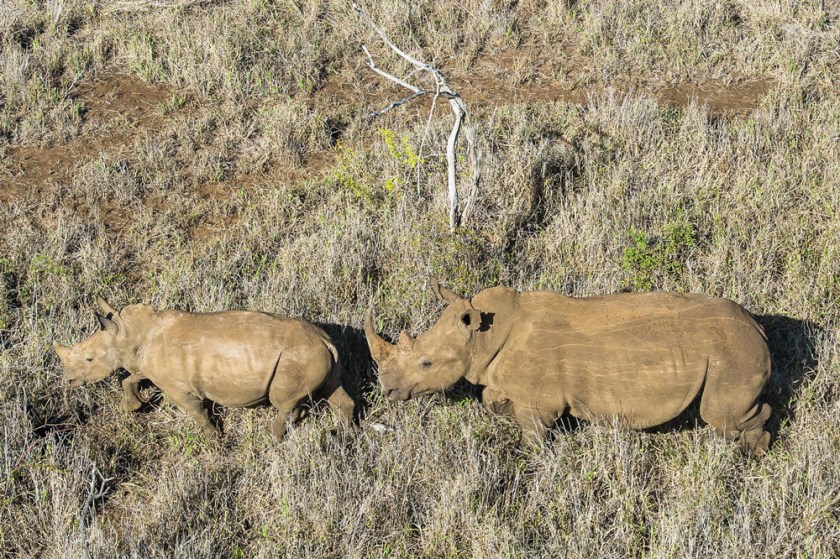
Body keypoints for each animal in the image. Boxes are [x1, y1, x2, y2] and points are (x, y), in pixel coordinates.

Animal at [54, 297, 355, 438]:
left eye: (89, 359)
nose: (68, 381)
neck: (130, 333)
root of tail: (325, 340)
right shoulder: (146, 366)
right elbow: (131, 378)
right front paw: (134, 407)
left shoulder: (180, 389)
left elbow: (197, 412)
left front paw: (214, 439)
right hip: (321, 352)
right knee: (333, 390)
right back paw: (343, 434)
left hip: (299, 357)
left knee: (283, 402)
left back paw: (273, 436)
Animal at [365, 277, 773, 455]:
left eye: (426, 362)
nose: (388, 391)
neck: (482, 338)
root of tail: (759, 329)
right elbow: (491, 400)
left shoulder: (539, 403)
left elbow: (533, 434)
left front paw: (530, 459)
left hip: (731, 352)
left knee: (720, 415)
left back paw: (751, 454)